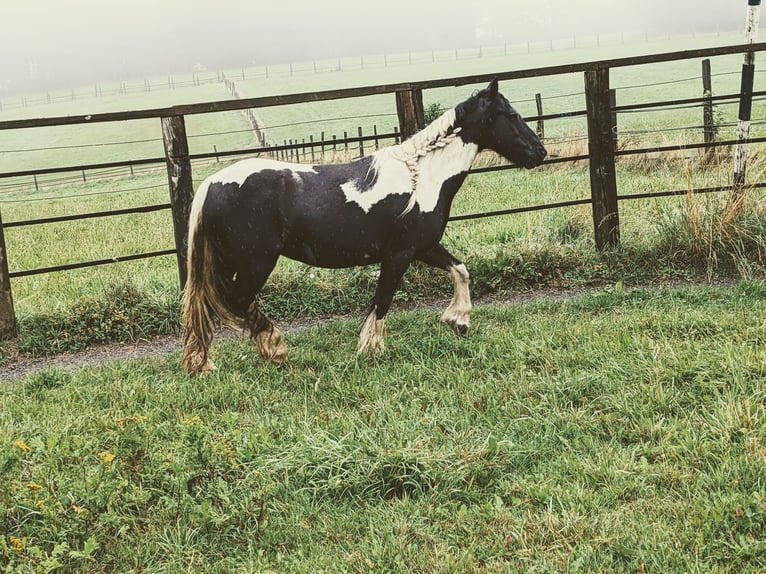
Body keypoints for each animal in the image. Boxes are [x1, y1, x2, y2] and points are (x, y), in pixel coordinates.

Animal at [183, 80, 548, 378]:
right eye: (511, 115)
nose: (540, 152)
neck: (421, 177)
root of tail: (211, 185)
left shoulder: (423, 247)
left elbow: (460, 270)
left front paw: (458, 320)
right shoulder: (399, 254)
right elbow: (383, 299)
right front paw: (371, 349)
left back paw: (206, 363)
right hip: (255, 262)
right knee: (236, 299)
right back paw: (275, 349)